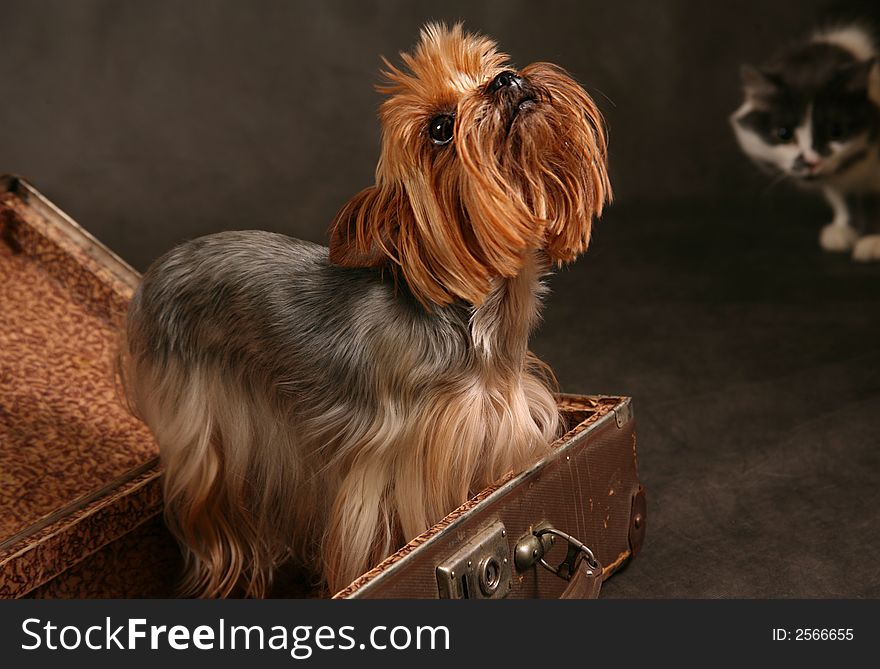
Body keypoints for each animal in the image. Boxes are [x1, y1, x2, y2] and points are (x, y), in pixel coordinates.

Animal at [120, 24, 608, 596]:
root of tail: (156, 271)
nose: (508, 79)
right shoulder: (399, 464)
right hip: (202, 427)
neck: (477, 321)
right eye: (440, 128)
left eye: (490, 68)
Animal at [732, 23, 880, 260]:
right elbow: (840, 197)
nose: (812, 162)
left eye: (836, 132)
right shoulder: (837, 180)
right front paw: (842, 229)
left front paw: (873, 240)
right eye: (784, 134)